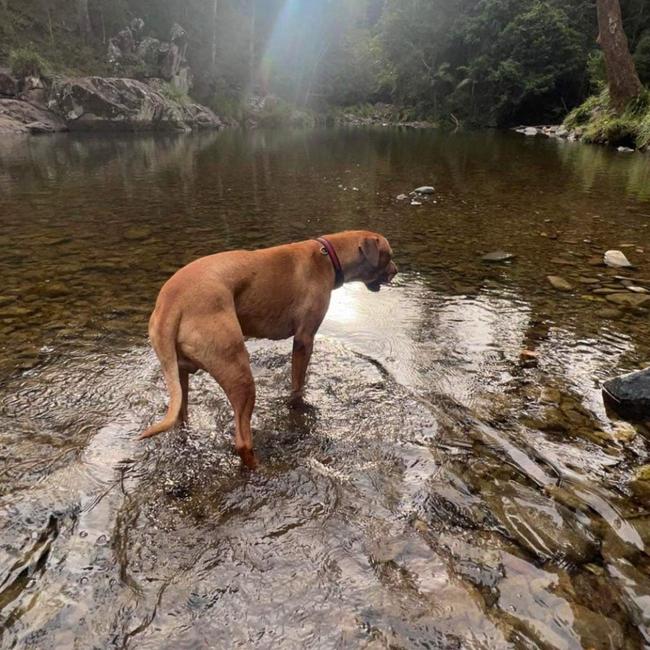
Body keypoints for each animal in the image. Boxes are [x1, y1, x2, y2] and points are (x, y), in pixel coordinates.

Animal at [139, 230, 398, 464]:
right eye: (388, 255)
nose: (396, 271)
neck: (328, 256)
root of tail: (171, 301)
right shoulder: (304, 339)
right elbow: (297, 384)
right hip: (238, 374)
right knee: (243, 440)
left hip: (179, 376)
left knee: (181, 416)